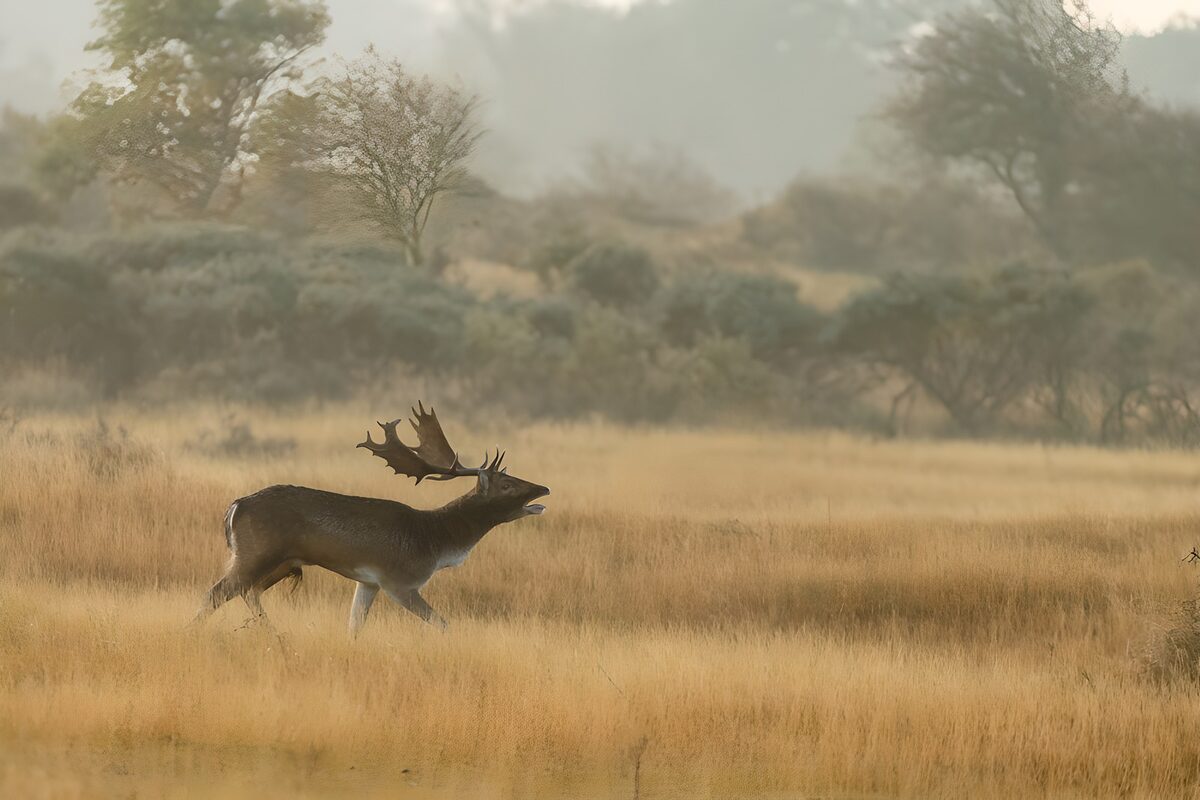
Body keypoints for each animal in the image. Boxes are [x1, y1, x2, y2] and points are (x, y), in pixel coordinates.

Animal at [191, 403, 549, 635]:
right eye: (506, 484)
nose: (543, 488)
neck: (437, 541)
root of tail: (234, 507)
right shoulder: (399, 581)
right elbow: (443, 624)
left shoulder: (368, 582)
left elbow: (354, 626)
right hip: (257, 553)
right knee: (216, 594)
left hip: (279, 562)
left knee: (248, 593)